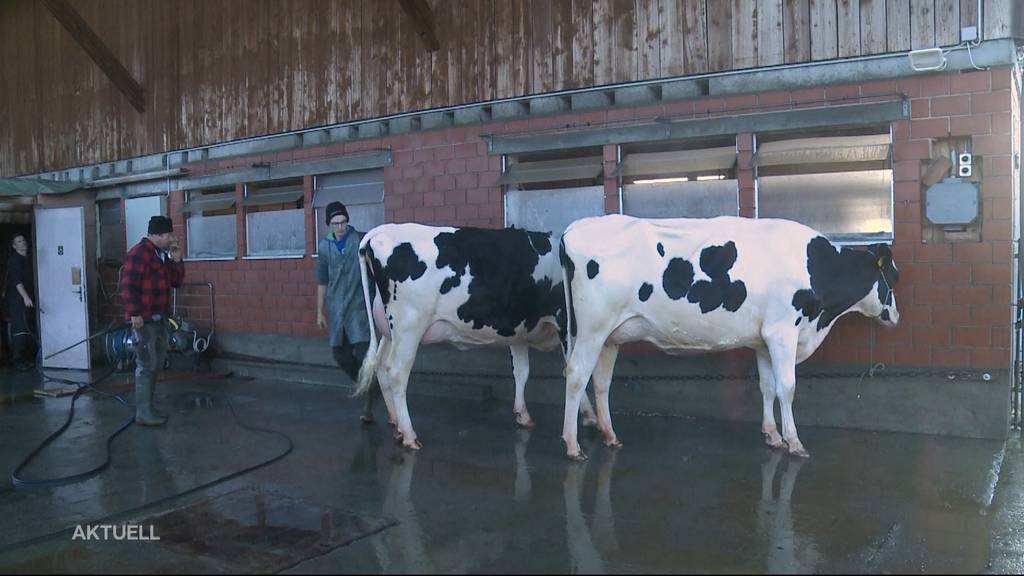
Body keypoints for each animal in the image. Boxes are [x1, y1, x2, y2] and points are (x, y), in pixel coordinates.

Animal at [356, 222, 598, 450]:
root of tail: (383, 230)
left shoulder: (517, 331)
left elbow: (522, 372)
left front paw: (522, 414)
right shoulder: (566, 324)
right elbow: (573, 370)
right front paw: (589, 414)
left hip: (390, 330)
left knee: (381, 365)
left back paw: (395, 423)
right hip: (409, 326)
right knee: (397, 372)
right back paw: (409, 435)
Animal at [557, 213, 901, 459]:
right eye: (893, 277)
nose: (896, 317)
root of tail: (573, 228)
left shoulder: (764, 340)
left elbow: (767, 387)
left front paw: (772, 435)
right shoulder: (782, 332)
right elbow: (787, 388)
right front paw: (794, 441)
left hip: (609, 335)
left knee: (601, 382)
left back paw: (610, 436)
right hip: (592, 327)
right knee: (576, 374)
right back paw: (573, 445)